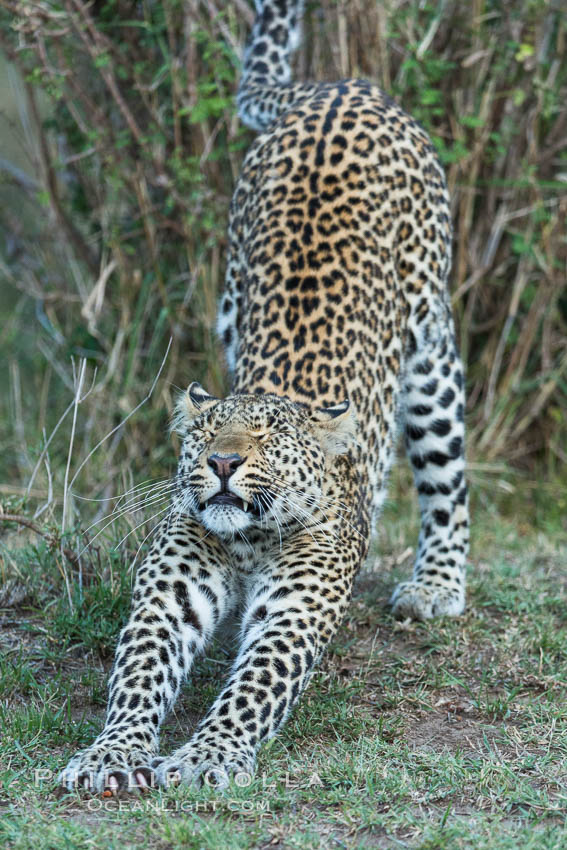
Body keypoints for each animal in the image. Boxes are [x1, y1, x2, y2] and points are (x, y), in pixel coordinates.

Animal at [61, 0, 470, 792]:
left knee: (447, 476)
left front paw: (208, 756)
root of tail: (342, 86)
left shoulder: (296, 603)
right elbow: (139, 669)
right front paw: (111, 753)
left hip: (431, 353)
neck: (249, 538)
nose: (221, 465)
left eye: (266, 440)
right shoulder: (173, 585)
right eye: (205, 435)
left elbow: (257, 683)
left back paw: (435, 585)